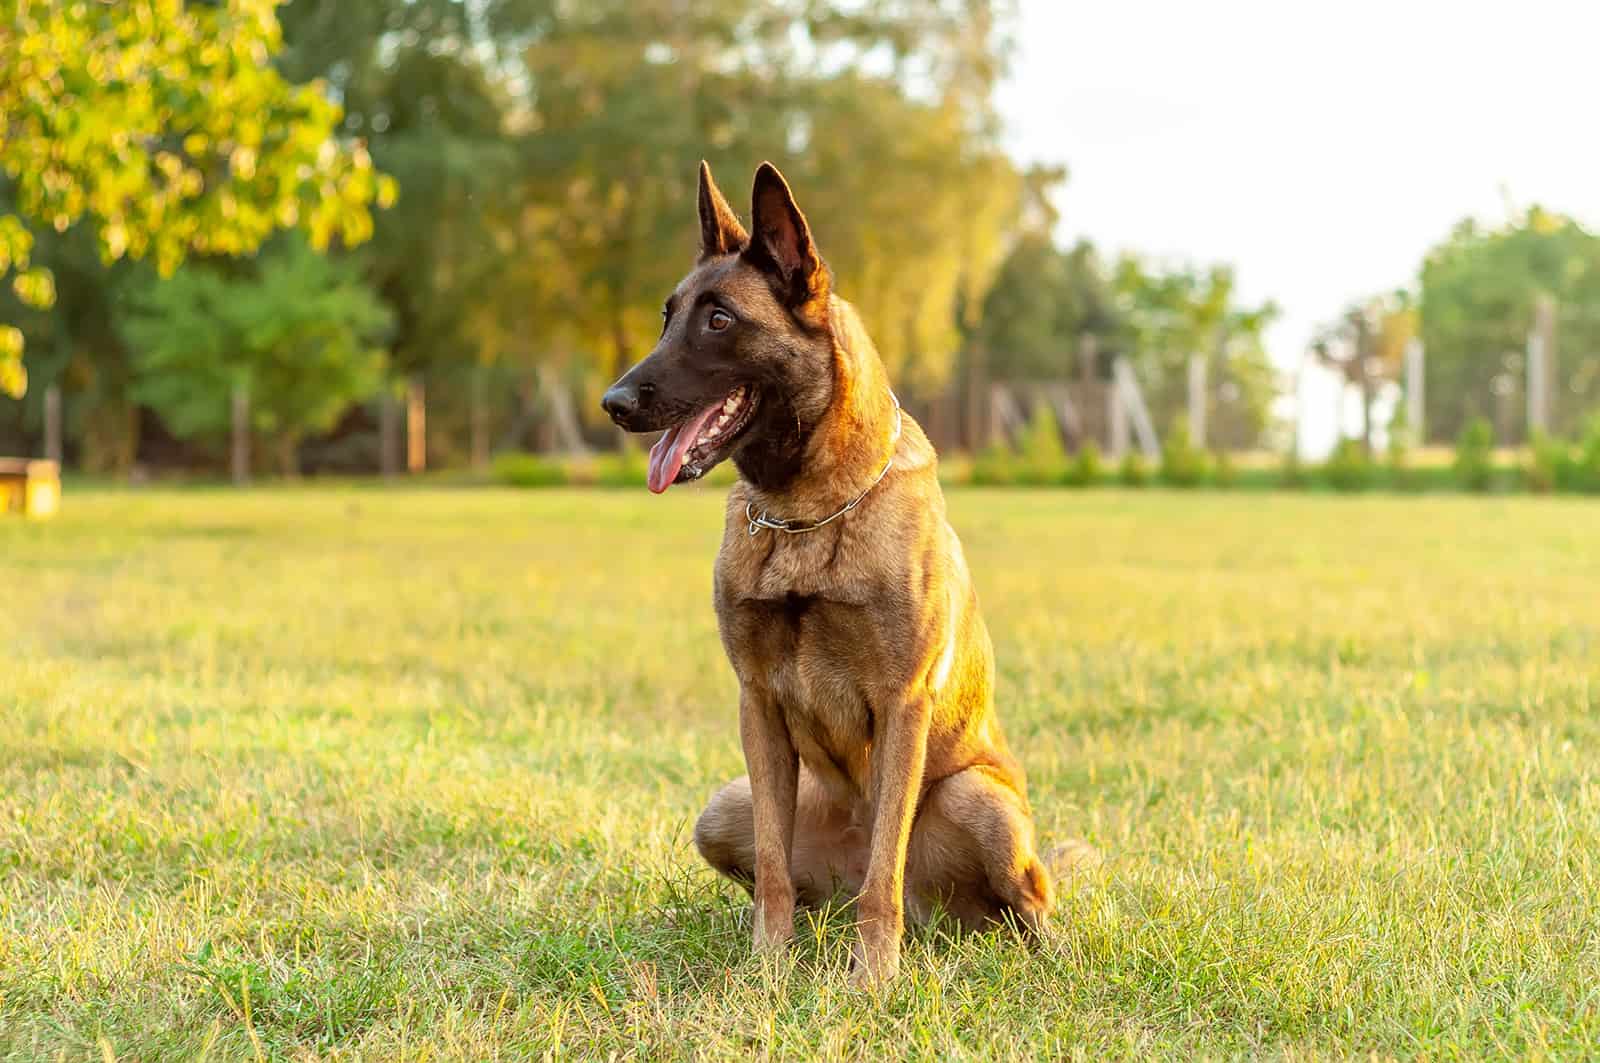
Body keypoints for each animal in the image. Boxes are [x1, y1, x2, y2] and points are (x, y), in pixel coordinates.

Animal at [601, 161, 1062, 986]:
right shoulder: (756, 704)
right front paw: (767, 965)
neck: (807, 513)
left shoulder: (902, 705)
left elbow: (886, 862)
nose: (613, 402)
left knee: (1015, 894)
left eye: (719, 320)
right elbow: (773, 870)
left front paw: (873, 977)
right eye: (667, 316)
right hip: (725, 807)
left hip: (978, 798)